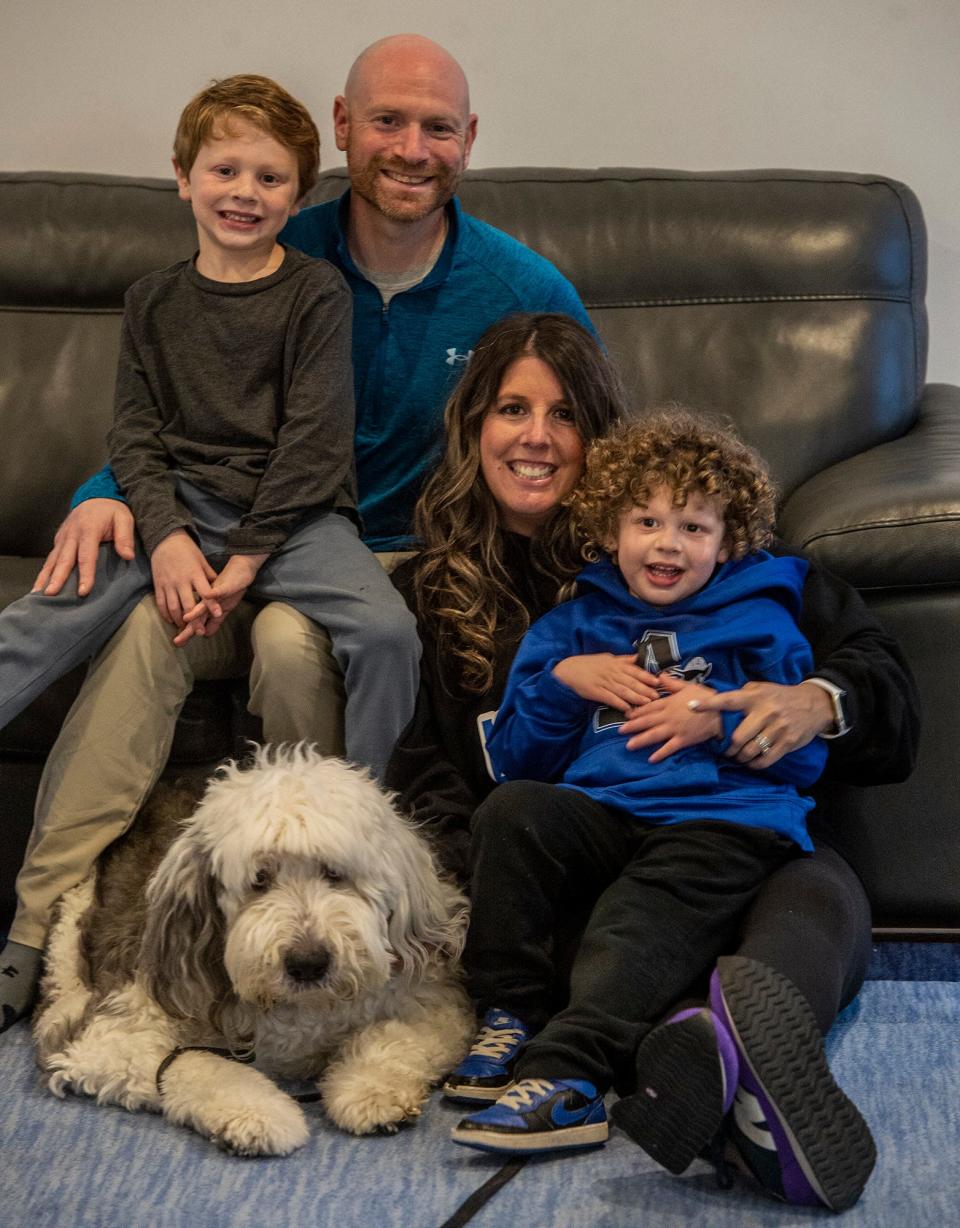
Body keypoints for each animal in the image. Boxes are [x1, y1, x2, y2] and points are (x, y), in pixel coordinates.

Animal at [35, 741, 476, 1154]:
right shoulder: (114, 1037)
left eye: (334, 872)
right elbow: (195, 1063)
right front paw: (259, 1116)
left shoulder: (430, 1003)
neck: (300, 1011)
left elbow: (391, 1037)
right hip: (72, 925)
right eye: (259, 879)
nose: (308, 963)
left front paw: (369, 1092)